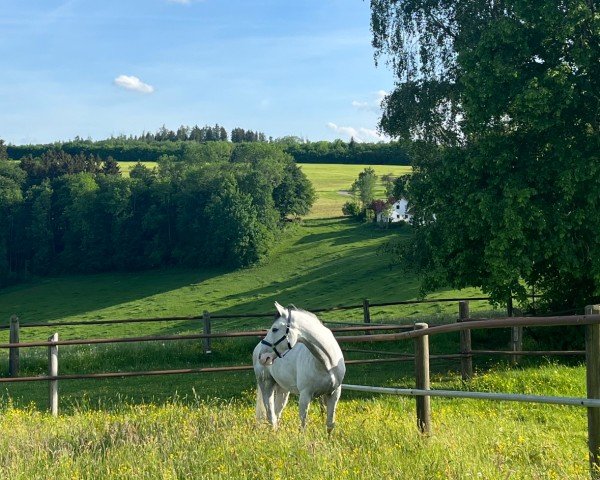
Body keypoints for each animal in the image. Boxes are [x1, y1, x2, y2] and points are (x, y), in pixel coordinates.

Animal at [253, 302, 346, 434]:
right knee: (271, 415)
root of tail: (256, 348)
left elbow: (330, 424)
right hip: (266, 384)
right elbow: (303, 426)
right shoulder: (305, 395)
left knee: (276, 413)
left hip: (282, 390)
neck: (327, 364)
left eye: (275, 329)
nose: (263, 357)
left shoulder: (334, 393)